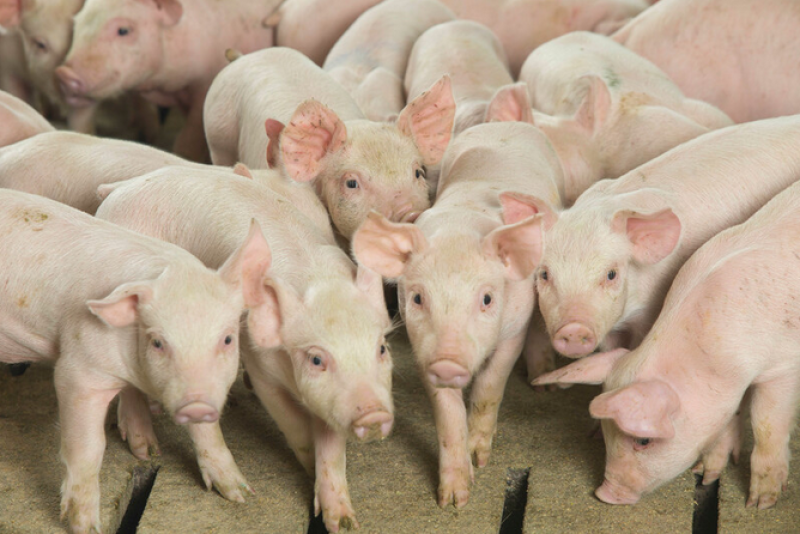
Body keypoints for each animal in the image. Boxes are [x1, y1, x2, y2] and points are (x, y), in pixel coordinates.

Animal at [0, 188, 271, 534]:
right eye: (158, 342)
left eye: (227, 339)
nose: (197, 404)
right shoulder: (77, 372)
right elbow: (88, 448)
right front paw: (86, 526)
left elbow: (208, 432)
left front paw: (240, 494)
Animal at [56, 0, 282, 162]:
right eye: (76, 24)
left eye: (124, 30)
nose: (64, 74)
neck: (162, 85)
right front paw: (146, 136)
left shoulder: (204, 85)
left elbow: (187, 141)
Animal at [95, 166, 394, 533]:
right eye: (316, 359)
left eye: (382, 348)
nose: (374, 413)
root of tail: (118, 189)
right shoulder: (260, 363)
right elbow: (293, 424)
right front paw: (291, 473)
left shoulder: (330, 399)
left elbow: (332, 447)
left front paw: (344, 521)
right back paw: (155, 455)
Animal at [353, 121, 565, 508]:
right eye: (418, 297)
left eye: (487, 298)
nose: (448, 362)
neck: (459, 230)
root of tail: (504, 124)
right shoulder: (422, 347)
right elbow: (447, 413)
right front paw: (454, 499)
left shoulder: (515, 326)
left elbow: (490, 385)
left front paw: (481, 458)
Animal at [533, 177, 800, 509]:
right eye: (607, 435)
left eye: (643, 440)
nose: (605, 494)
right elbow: (727, 421)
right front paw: (706, 475)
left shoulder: (783, 367)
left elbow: (766, 424)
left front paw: (760, 503)